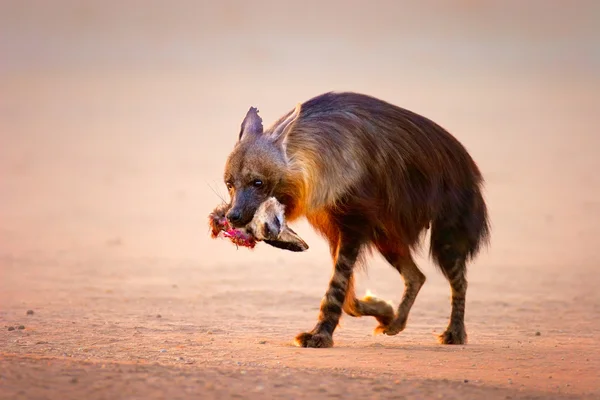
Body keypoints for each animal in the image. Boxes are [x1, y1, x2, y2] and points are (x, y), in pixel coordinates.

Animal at [219, 90, 488, 346]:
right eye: (230, 184)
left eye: (258, 182)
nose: (233, 216)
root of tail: (468, 164)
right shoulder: (335, 227)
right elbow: (347, 296)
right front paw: (384, 311)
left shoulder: (354, 221)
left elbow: (337, 284)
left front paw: (319, 335)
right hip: (386, 237)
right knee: (416, 276)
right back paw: (395, 323)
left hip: (446, 228)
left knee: (459, 280)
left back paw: (454, 333)